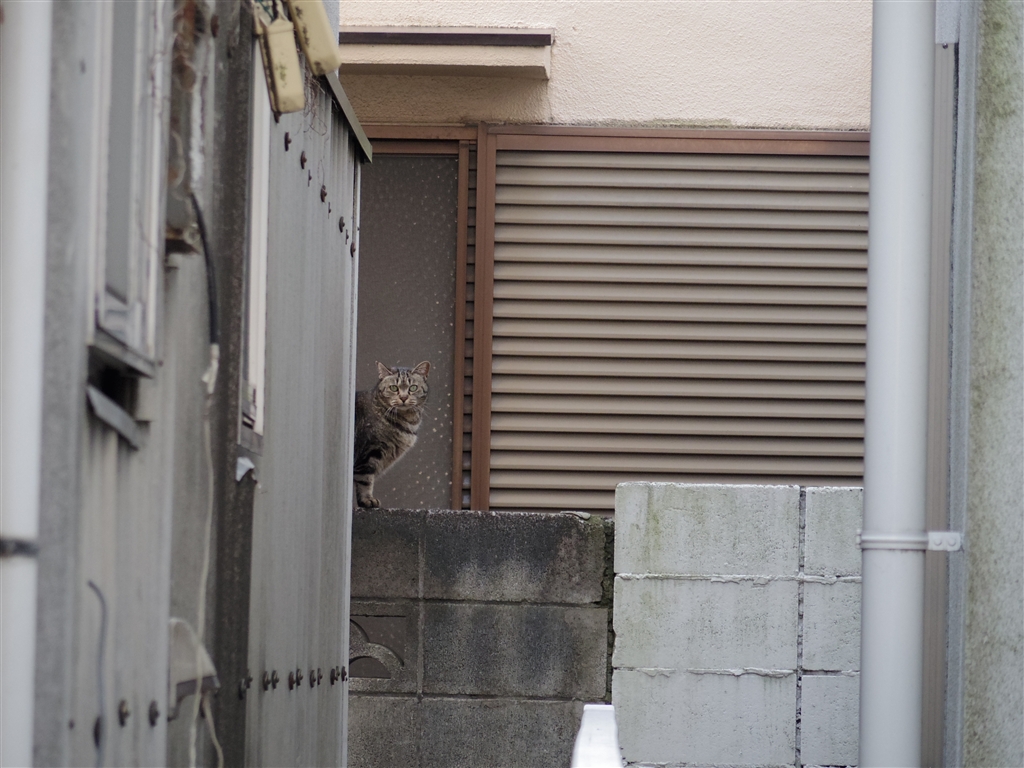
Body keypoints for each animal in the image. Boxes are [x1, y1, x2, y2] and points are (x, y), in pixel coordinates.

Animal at [353, 361, 430, 508]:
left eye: (413, 388)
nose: (404, 397)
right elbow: (365, 480)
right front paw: (367, 499)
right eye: (394, 388)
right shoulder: (369, 452)